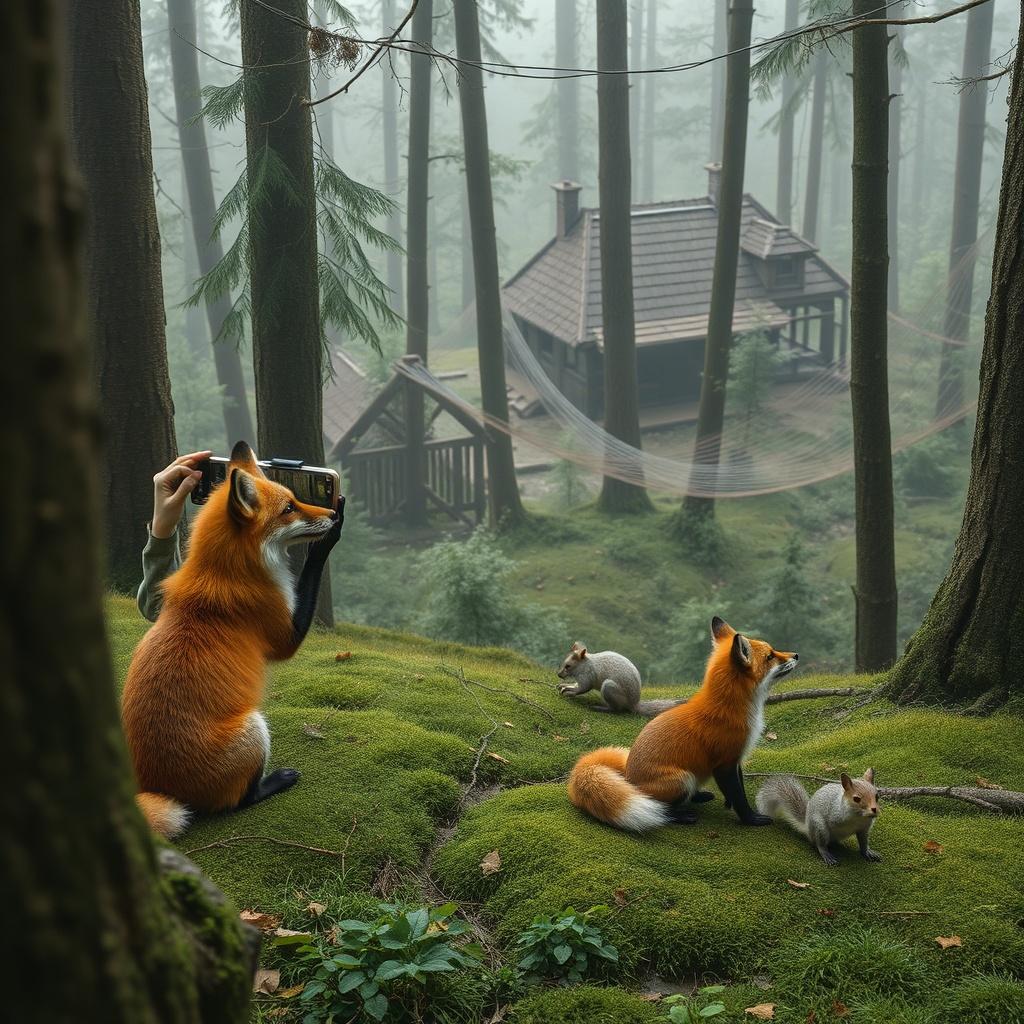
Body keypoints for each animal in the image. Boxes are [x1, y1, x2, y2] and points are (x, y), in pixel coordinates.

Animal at [121, 441, 343, 839]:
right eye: (289, 508)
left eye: (295, 499)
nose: (332, 515)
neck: (226, 572)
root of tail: (158, 788)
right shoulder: (284, 633)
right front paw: (325, 543)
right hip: (254, 729)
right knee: (239, 801)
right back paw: (274, 782)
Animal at [567, 617, 798, 831]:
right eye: (770, 656)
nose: (796, 655)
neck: (733, 709)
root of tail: (629, 779)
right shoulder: (725, 762)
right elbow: (739, 797)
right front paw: (751, 819)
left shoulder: (735, 759)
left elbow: (735, 789)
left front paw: (728, 804)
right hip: (682, 778)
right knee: (660, 807)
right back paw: (680, 815)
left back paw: (699, 797)